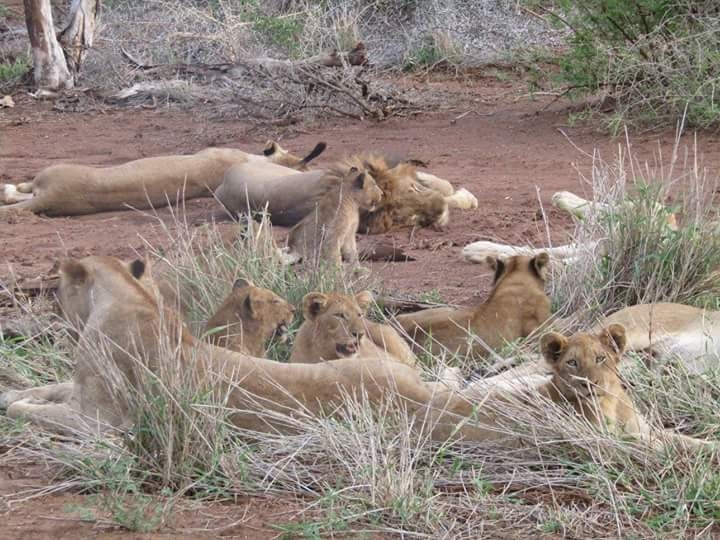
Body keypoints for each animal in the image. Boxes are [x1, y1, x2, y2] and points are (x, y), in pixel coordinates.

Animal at [538, 324, 714, 449]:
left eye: (600, 358)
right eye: (572, 362)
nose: (589, 383)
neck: (611, 402)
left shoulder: (646, 428)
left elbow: (682, 439)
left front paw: (711, 446)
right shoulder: (596, 434)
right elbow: (628, 438)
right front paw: (654, 444)